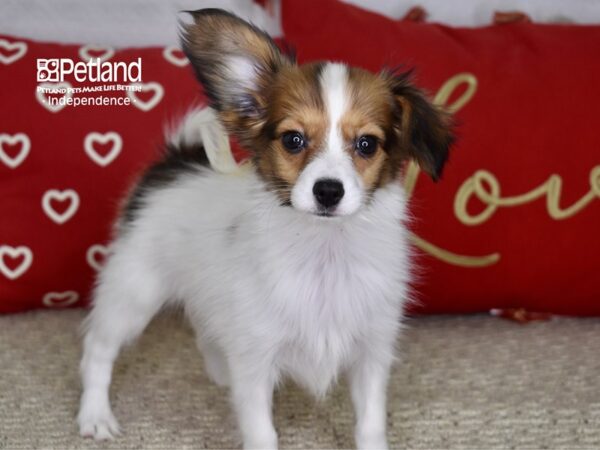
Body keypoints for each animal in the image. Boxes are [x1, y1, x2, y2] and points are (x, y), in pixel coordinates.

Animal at [78, 7, 454, 450]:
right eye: (293, 139)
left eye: (367, 144)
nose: (328, 191)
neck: (325, 253)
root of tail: (174, 162)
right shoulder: (256, 360)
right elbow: (261, 431)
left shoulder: (371, 353)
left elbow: (370, 424)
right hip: (135, 293)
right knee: (98, 348)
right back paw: (95, 415)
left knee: (204, 328)